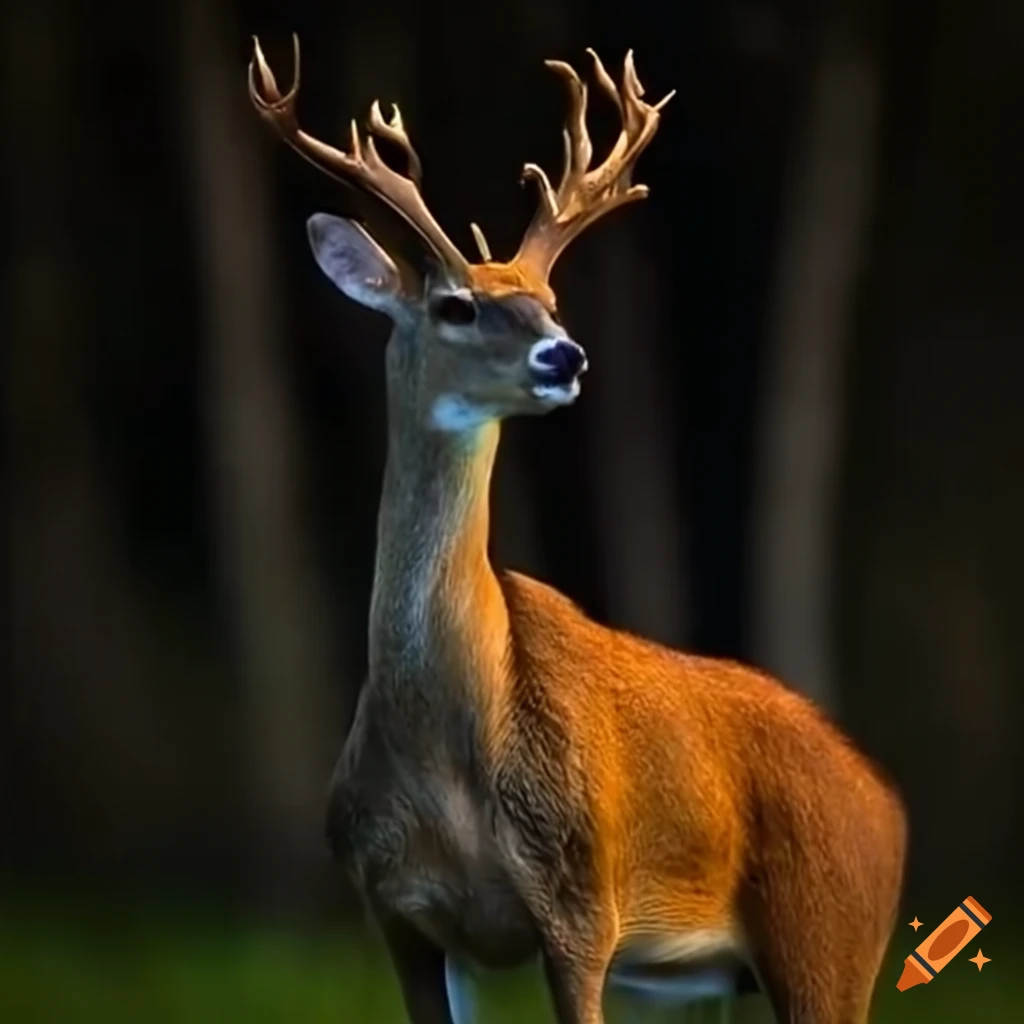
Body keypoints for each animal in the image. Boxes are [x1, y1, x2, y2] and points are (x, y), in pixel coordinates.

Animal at [248, 34, 907, 1024]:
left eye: (550, 300)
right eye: (457, 305)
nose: (567, 354)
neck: (449, 757)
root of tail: (890, 808)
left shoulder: (580, 906)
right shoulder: (396, 915)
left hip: (826, 937)